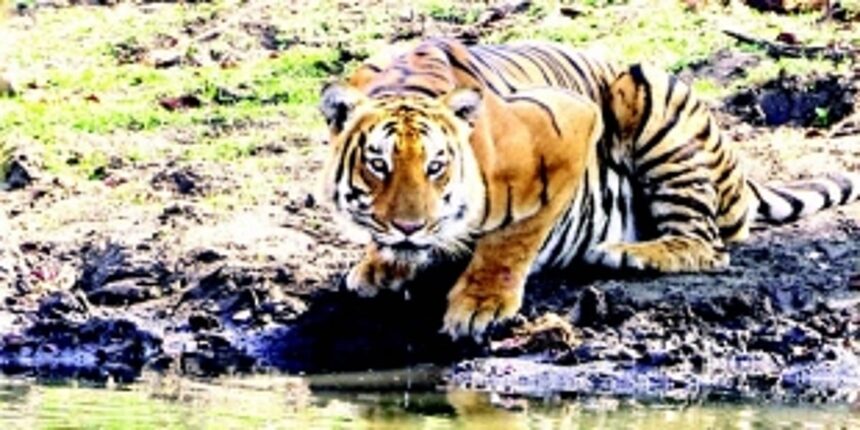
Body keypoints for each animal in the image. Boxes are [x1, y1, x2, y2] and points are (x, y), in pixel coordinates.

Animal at [318, 38, 860, 340]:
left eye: (437, 167)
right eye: (378, 165)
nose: (409, 228)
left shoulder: (571, 127)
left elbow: (510, 239)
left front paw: (480, 305)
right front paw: (380, 264)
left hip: (650, 96)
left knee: (707, 244)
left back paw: (628, 252)